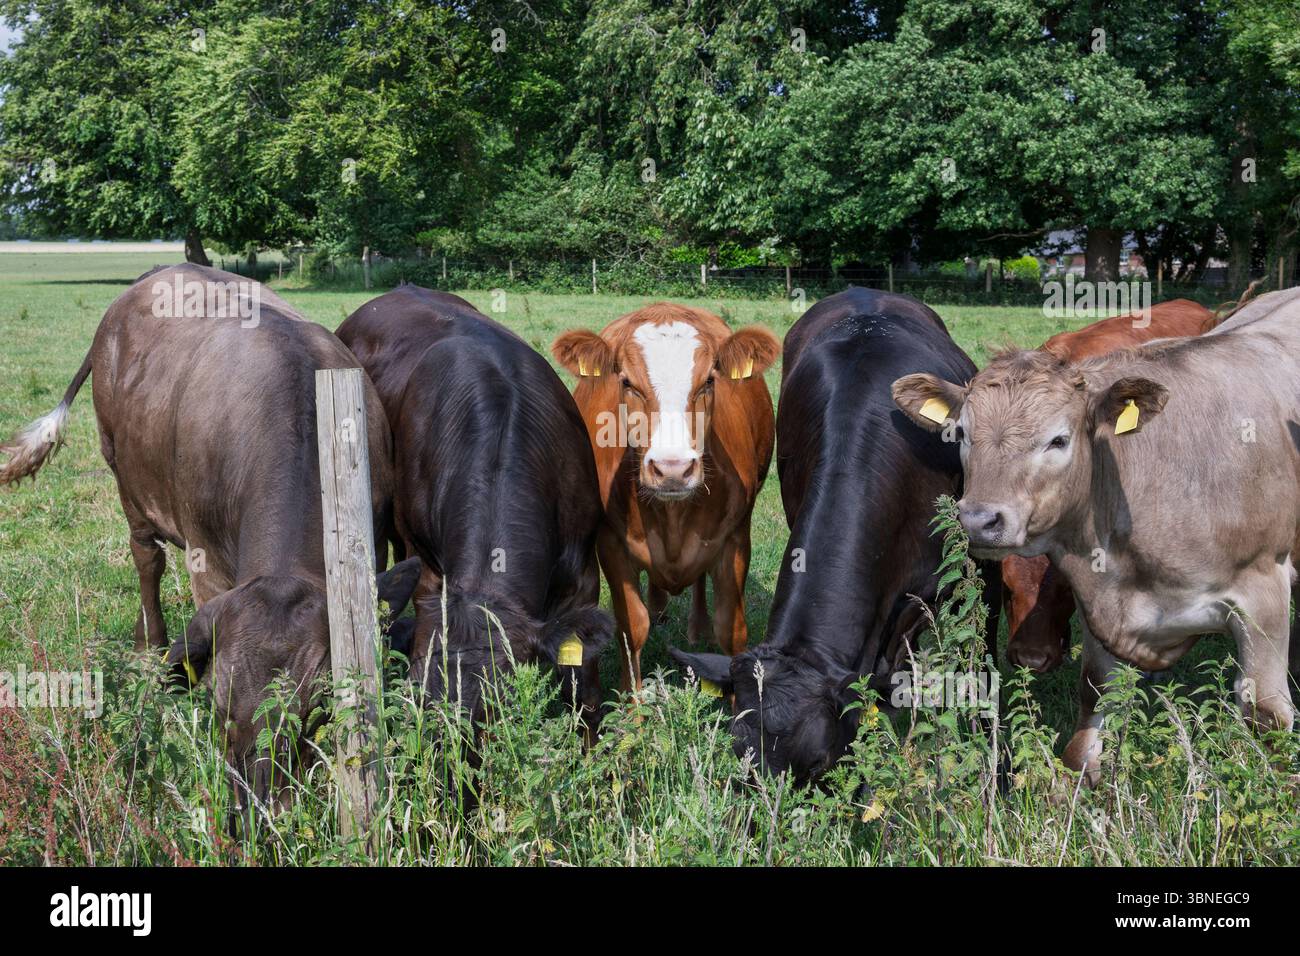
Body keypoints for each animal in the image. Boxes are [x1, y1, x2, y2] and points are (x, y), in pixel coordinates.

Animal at [0, 264, 419, 817]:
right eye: (218, 701)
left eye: (316, 706)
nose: (256, 807)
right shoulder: (208, 565)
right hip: (125, 476)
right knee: (147, 560)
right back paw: (150, 644)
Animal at [550, 304, 780, 692]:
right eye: (627, 382)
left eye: (709, 381)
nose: (673, 469)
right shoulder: (610, 542)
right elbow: (632, 627)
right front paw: (632, 706)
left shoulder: (736, 539)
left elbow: (731, 630)